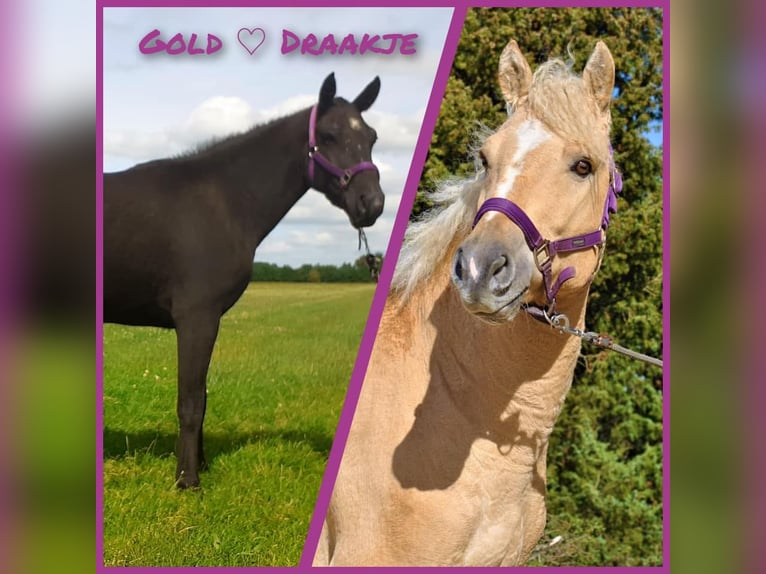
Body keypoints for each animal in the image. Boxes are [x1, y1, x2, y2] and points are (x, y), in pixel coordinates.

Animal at [104, 73, 384, 489]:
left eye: (372, 136)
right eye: (329, 135)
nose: (372, 203)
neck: (223, 202)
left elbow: (202, 396)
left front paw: (200, 464)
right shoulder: (196, 318)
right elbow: (191, 401)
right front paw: (187, 480)